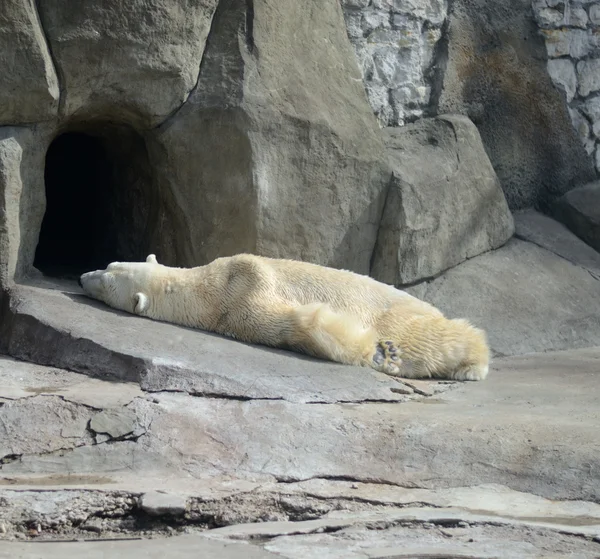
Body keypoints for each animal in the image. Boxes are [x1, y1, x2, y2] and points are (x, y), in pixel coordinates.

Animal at [79, 254, 490, 380]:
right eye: (108, 265)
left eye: (106, 275)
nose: (82, 276)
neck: (208, 288)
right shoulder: (236, 315)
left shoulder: (248, 282)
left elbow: (299, 317)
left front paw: (380, 352)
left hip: (402, 311)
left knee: (428, 334)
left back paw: (471, 364)